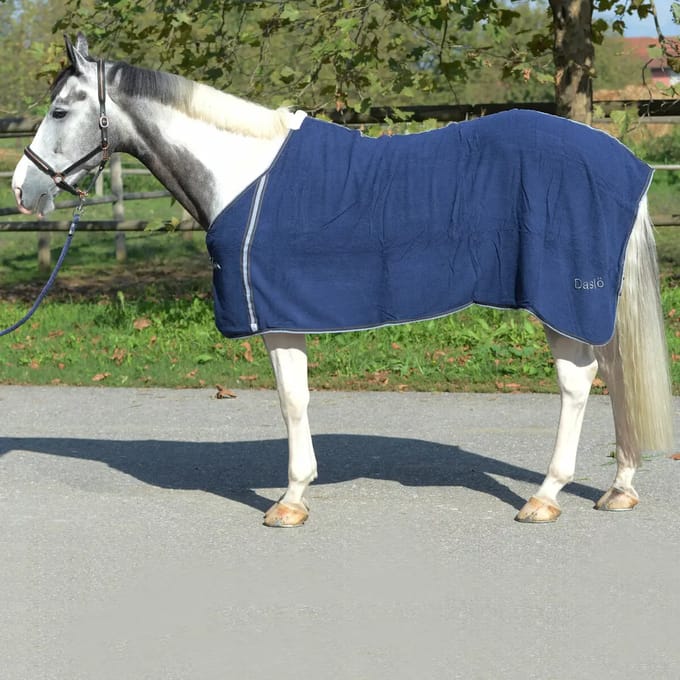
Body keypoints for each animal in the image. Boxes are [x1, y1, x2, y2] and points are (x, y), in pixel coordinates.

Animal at [11, 34, 674, 527]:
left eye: (59, 110)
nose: (23, 188)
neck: (242, 173)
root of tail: (622, 161)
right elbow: (298, 398)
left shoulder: (276, 316)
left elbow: (291, 400)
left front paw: (289, 500)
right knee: (615, 374)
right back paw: (619, 488)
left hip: (560, 300)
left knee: (578, 382)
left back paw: (545, 496)